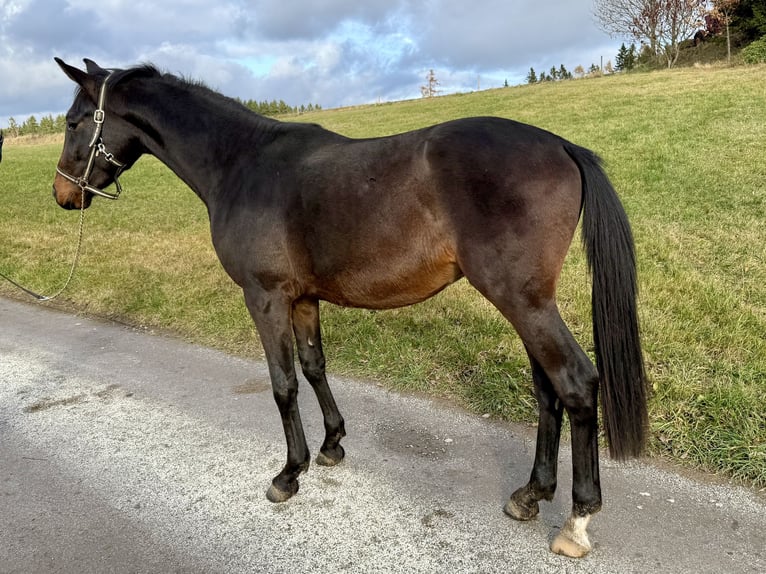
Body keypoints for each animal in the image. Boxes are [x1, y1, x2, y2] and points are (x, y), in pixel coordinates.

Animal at [52, 58, 648, 558]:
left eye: (74, 122)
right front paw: (333, 443)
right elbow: (314, 367)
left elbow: (283, 384)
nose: (63, 194)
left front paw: (289, 473)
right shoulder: (304, 298)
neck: (244, 164)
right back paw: (530, 494)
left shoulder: (265, 297)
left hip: (522, 301)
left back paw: (577, 521)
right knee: (547, 391)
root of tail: (562, 146)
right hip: (527, 303)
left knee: (575, 383)